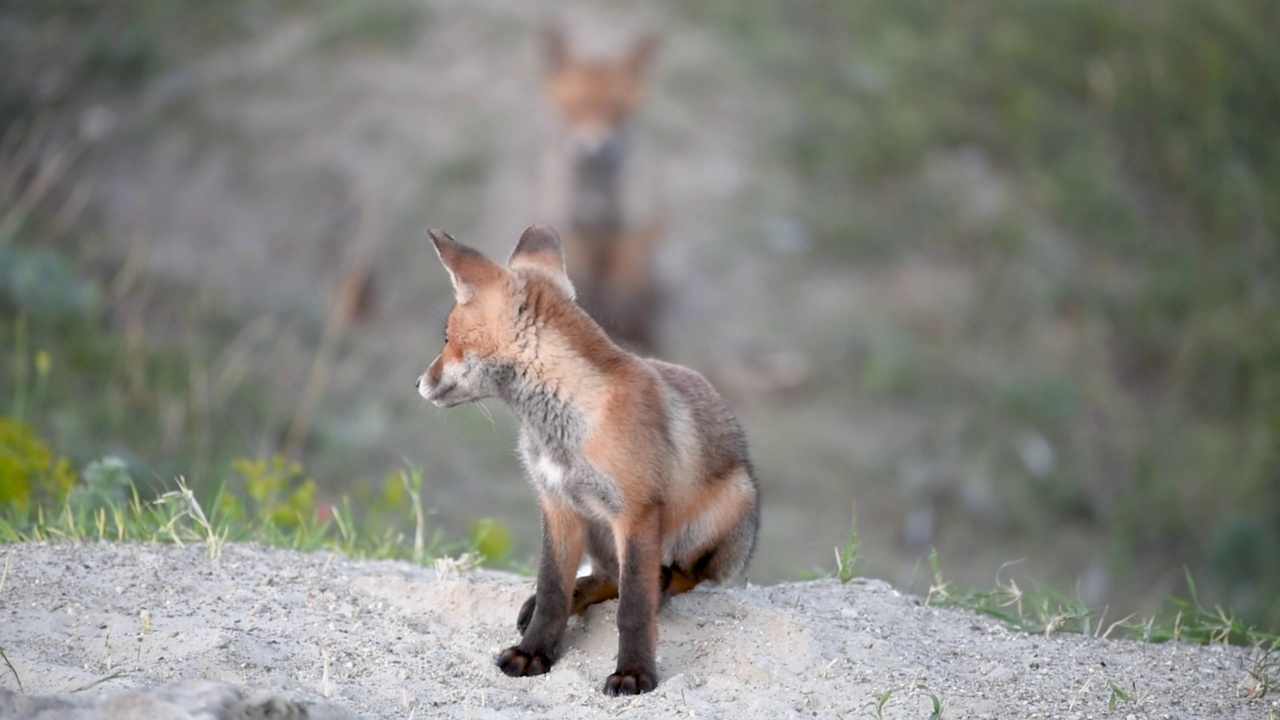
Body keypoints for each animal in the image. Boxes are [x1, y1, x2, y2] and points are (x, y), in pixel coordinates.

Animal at [419, 225, 757, 696]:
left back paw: (665, 583)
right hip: (598, 530)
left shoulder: (636, 512)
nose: (418, 383)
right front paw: (534, 651)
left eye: (447, 339)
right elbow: (552, 590)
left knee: (680, 576)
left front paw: (634, 672)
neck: (563, 430)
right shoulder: (557, 503)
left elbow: (633, 608)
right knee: (604, 577)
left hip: (720, 512)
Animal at [537, 25, 665, 356]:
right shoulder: (570, 229)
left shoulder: (635, 229)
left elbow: (624, 287)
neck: (595, 186)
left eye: (618, 111)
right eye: (574, 108)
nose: (594, 148)